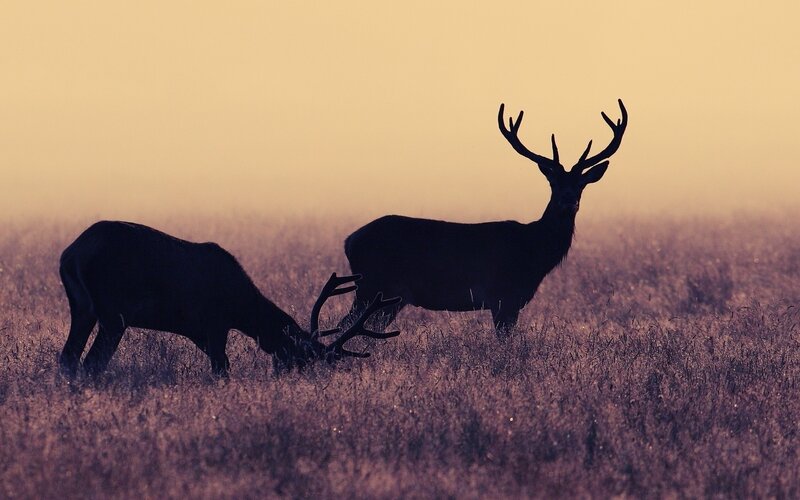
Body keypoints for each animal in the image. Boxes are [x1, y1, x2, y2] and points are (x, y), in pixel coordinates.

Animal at [58, 221, 401, 378]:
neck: (241, 306)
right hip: (113, 312)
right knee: (92, 362)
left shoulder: (200, 331)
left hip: (83, 308)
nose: (285, 380)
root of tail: (72, 254)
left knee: (68, 357)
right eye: (301, 359)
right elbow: (221, 367)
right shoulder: (214, 322)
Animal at [339, 99, 628, 336]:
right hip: (374, 286)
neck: (534, 252)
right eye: (553, 183)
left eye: (581, 185)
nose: (568, 200)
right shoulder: (504, 296)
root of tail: (349, 240)